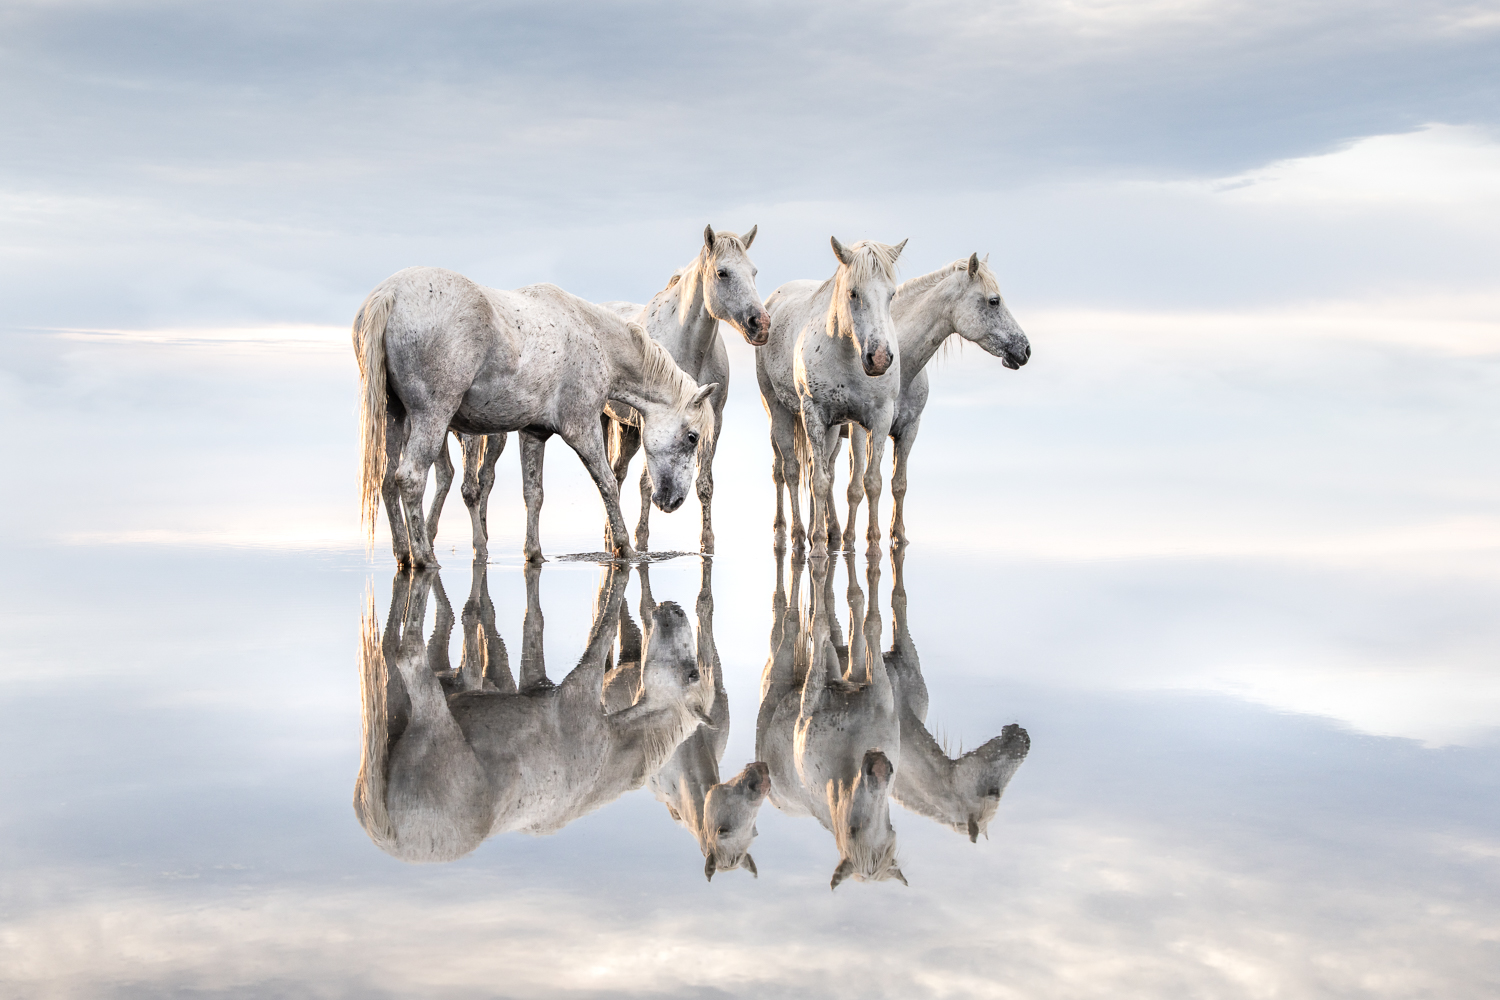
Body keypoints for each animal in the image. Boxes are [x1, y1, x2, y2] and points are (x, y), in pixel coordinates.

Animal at [352, 267, 717, 568]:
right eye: (692, 437)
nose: (673, 500)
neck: (593, 336)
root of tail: (389, 294)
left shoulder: (533, 433)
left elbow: (534, 494)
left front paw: (534, 553)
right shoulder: (582, 428)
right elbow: (607, 484)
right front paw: (624, 549)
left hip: (394, 416)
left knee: (387, 480)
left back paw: (403, 553)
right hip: (432, 417)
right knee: (410, 477)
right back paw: (424, 558)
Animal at [354, 558, 715, 864]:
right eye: (693, 674)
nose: (675, 610)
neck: (610, 750)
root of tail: (388, 835)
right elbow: (605, 625)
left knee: (403, 654)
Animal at [756, 236, 906, 559]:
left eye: (892, 294)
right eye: (853, 293)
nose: (879, 358)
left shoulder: (877, 418)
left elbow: (869, 481)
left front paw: (873, 544)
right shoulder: (813, 413)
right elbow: (818, 481)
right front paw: (818, 547)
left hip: (834, 429)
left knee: (816, 467)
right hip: (780, 412)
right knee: (789, 471)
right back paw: (796, 535)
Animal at [756, 550, 906, 888]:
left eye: (890, 840)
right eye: (851, 830)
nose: (878, 767)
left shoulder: (880, 688)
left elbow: (870, 623)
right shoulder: (811, 702)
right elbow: (820, 622)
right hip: (782, 657)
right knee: (791, 616)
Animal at [832, 254, 1030, 548]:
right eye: (994, 301)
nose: (1025, 349)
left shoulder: (908, 430)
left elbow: (898, 484)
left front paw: (898, 535)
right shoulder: (861, 431)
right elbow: (858, 486)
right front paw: (853, 539)